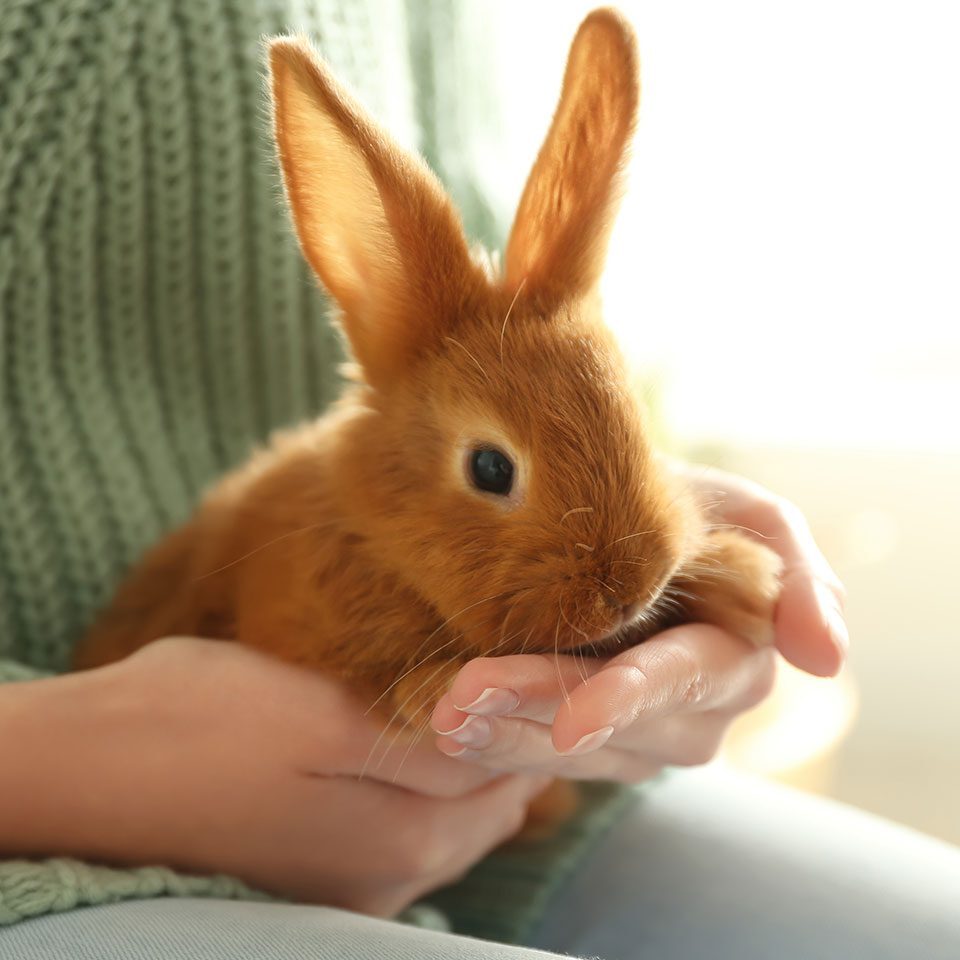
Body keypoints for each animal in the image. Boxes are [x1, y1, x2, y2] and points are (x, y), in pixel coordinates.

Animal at [74, 9, 782, 801]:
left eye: (634, 421)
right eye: (490, 469)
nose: (627, 593)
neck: (375, 529)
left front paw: (747, 580)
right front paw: (444, 695)